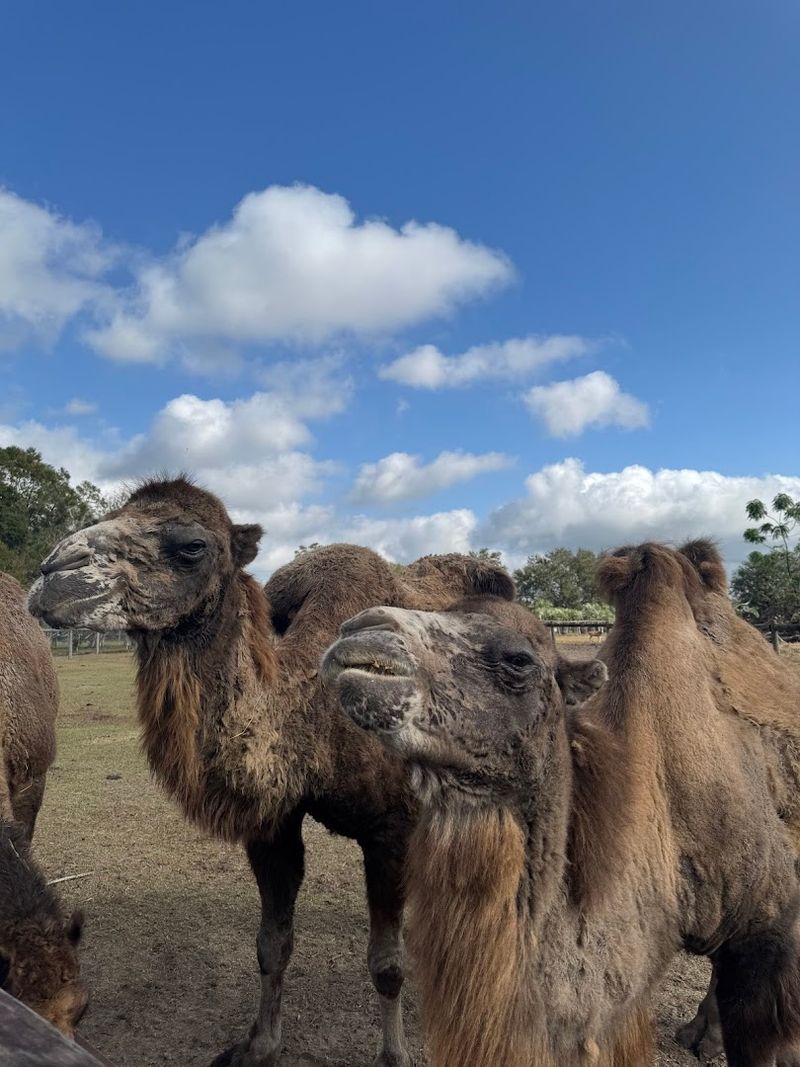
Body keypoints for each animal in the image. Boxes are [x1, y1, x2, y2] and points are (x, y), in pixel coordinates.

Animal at [27, 476, 516, 1067]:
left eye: (192, 546)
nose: (52, 573)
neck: (316, 706)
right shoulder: (272, 824)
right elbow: (272, 945)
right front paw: (260, 1044)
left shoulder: (392, 828)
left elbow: (387, 966)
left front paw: (395, 1054)